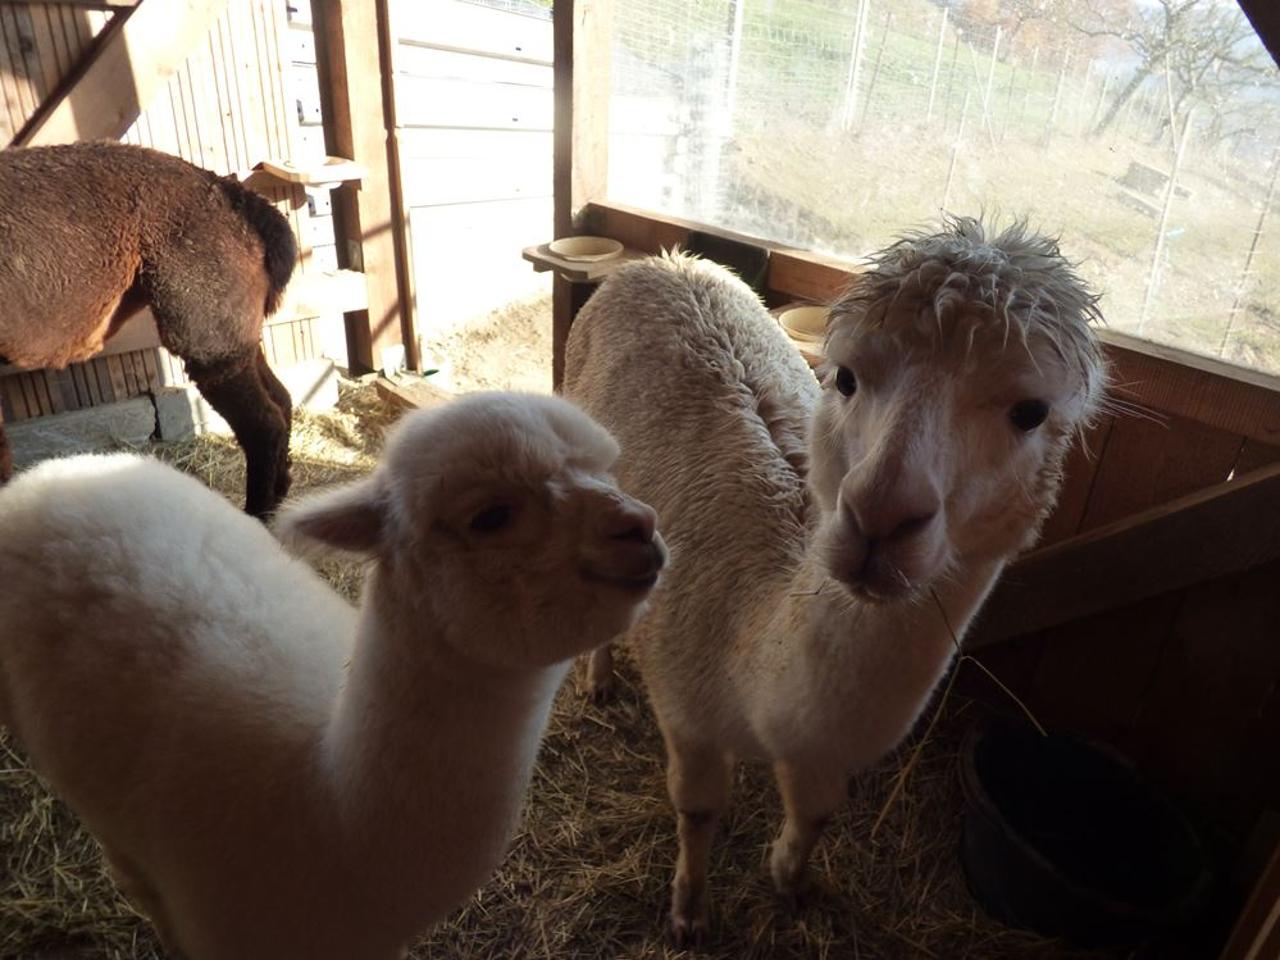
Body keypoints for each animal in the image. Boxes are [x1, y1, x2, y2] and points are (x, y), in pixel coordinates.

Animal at [0, 140, 298, 518]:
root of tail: (233, 192)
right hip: (234, 324)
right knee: (281, 398)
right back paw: (279, 497)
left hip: (204, 320)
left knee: (264, 425)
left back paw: (258, 515)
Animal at [563, 219, 1107, 942]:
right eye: (845, 377)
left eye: (1031, 411)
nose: (878, 519)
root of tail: (667, 261)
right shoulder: (688, 712)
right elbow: (700, 812)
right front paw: (689, 913)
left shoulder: (822, 747)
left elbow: (816, 809)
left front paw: (791, 880)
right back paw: (597, 679)